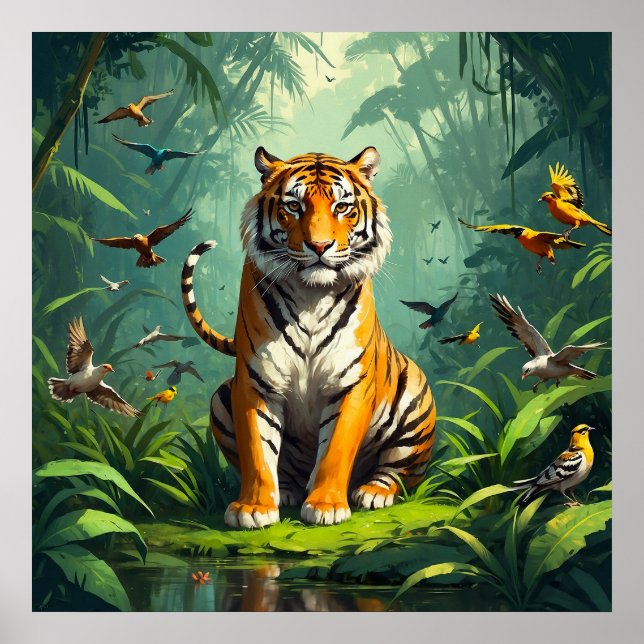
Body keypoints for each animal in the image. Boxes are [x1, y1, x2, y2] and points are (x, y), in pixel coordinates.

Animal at [181, 146, 436, 528]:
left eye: (342, 207)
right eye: (293, 206)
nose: (319, 245)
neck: (311, 296)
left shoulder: (351, 383)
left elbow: (335, 449)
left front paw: (326, 505)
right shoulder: (256, 383)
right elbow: (257, 449)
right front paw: (253, 508)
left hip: (415, 396)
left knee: (400, 471)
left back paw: (372, 492)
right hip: (221, 397)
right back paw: (286, 490)